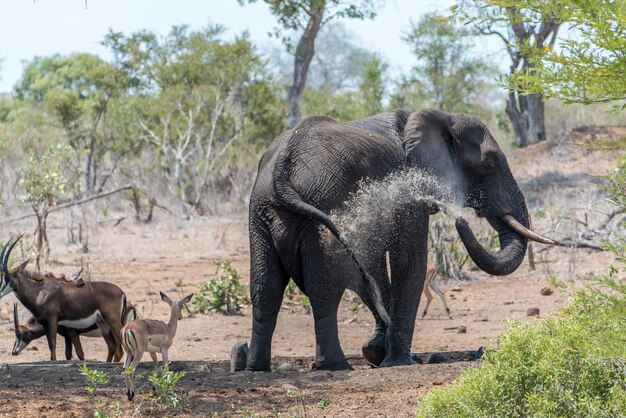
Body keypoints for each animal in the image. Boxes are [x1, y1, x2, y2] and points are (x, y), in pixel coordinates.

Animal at [0, 237, 129, 360]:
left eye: (7, 277)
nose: (14, 352)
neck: (40, 292)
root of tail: (122, 293)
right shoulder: (47, 324)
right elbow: (63, 352)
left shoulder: (54, 321)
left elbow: (53, 345)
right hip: (103, 324)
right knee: (114, 348)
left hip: (113, 321)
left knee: (121, 349)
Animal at [245, 108, 552, 372]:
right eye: (488, 164)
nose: (460, 218)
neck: (440, 116)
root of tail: (282, 170)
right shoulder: (409, 192)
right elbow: (408, 260)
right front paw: (402, 362)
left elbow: (374, 265)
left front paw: (376, 352)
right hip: (322, 204)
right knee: (323, 289)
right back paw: (335, 366)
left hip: (261, 213)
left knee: (265, 287)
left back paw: (256, 368)